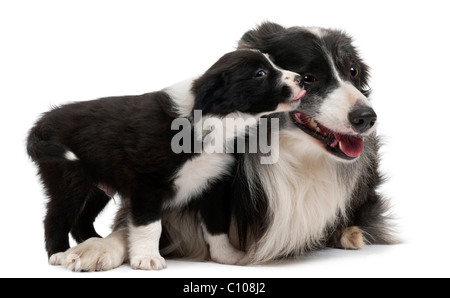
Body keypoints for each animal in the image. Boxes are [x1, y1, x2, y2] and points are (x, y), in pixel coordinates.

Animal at [26, 49, 304, 270]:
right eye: (260, 73)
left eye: (273, 64)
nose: (302, 79)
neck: (216, 118)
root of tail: (41, 124)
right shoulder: (147, 182)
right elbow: (150, 225)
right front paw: (147, 259)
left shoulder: (212, 183)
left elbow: (217, 224)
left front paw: (227, 256)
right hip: (69, 178)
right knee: (55, 217)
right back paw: (59, 253)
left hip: (98, 187)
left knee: (81, 219)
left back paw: (91, 242)